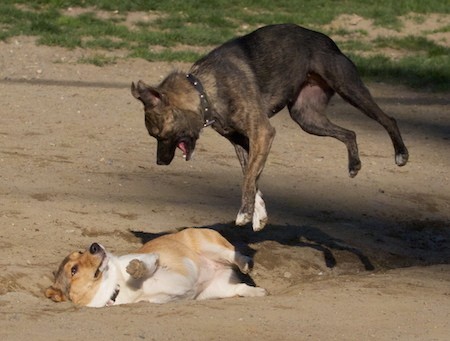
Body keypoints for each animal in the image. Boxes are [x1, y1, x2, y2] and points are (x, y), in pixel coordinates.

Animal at [44, 227, 268, 306]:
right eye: (73, 270)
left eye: (79, 252)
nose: (94, 246)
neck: (116, 286)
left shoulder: (153, 257)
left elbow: (146, 264)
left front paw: (137, 269)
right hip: (216, 290)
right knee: (239, 287)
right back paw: (257, 292)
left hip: (209, 245)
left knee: (234, 254)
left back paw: (245, 263)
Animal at [130, 23, 408, 231]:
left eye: (159, 135)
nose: (160, 163)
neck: (205, 89)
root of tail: (325, 38)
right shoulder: (242, 141)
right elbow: (251, 176)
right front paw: (258, 214)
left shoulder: (262, 133)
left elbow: (249, 177)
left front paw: (244, 213)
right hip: (307, 118)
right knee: (350, 132)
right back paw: (354, 165)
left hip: (349, 88)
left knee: (388, 120)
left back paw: (401, 153)